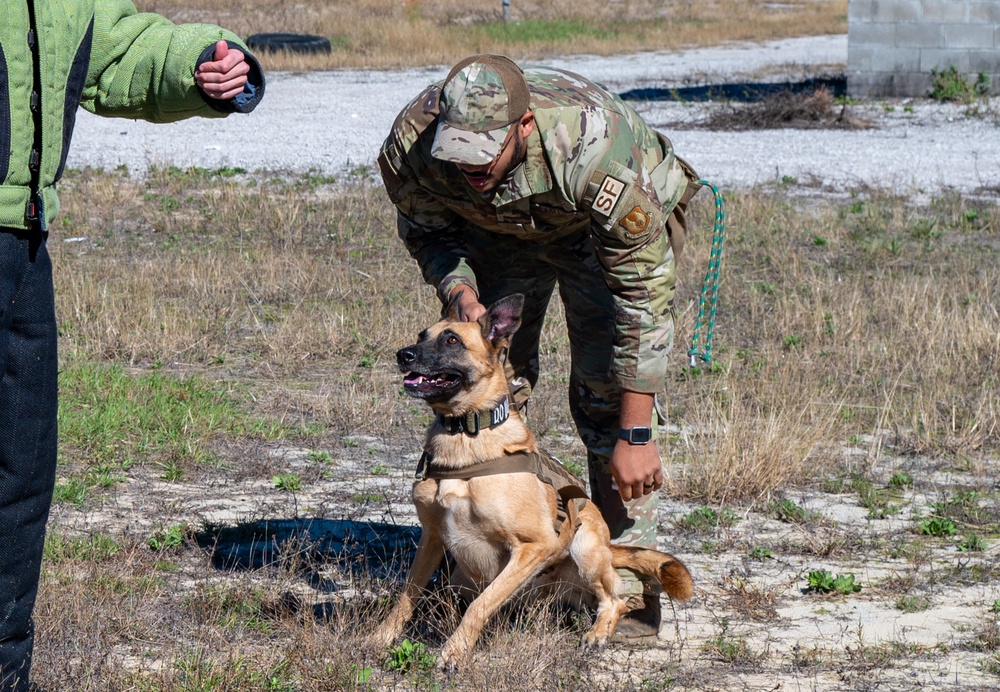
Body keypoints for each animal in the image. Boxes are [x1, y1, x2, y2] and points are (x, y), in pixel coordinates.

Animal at [372, 294, 692, 672]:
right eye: (422, 336)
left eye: (451, 340)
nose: (403, 354)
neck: (465, 433)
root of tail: (609, 546)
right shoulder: (432, 538)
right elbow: (408, 595)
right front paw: (380, 637)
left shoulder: (535, 545)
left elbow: (481, 604)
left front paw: (455, 651)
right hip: (466, 577)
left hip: (584, 547)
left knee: (614, 600)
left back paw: (597, 634)